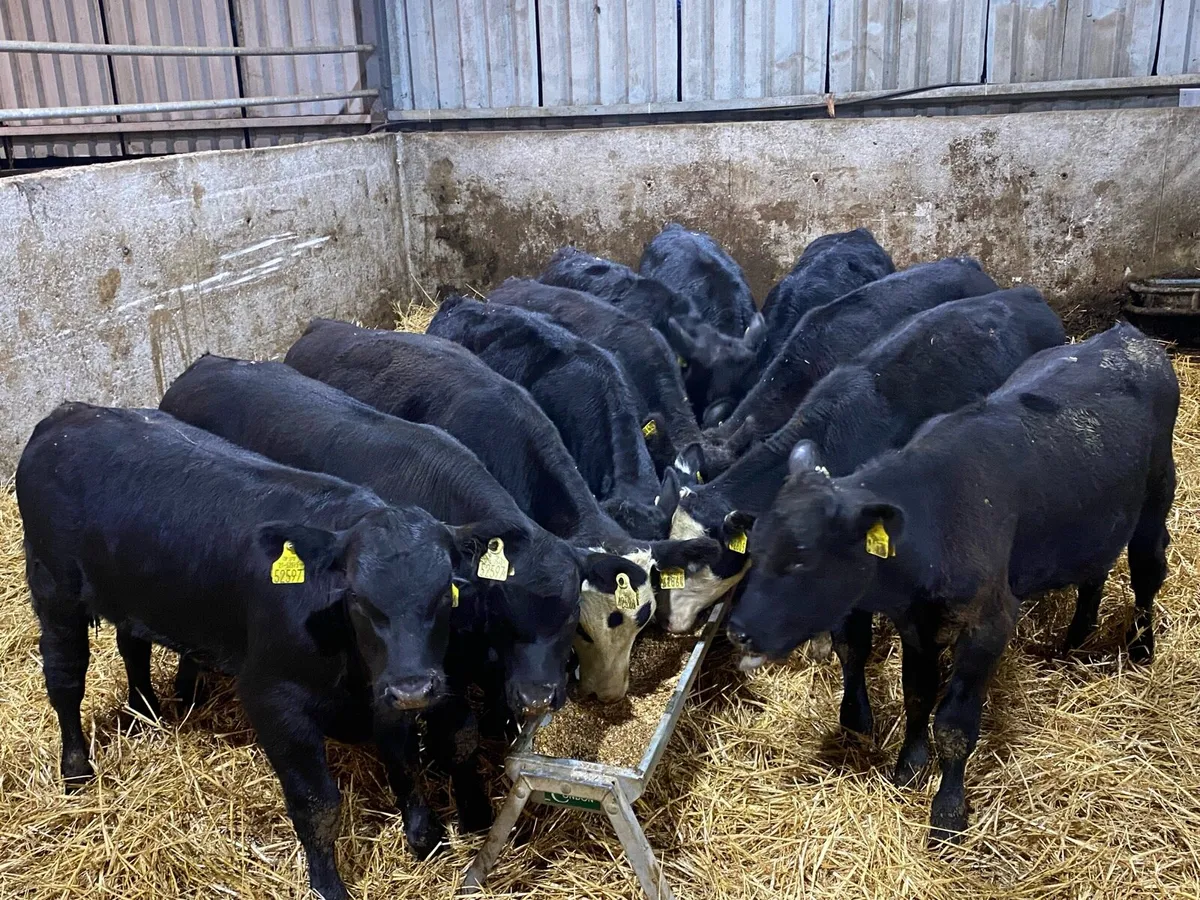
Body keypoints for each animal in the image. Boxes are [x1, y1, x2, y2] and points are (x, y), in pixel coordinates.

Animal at [17, 403, 507, 899]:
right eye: (357, 598)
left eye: (445, 595)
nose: (413, 688)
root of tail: (70, 414)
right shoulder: (273, 699)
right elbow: (318, 804)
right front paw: (328, 885)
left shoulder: (387, 695)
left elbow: (405, 761)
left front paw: (426, 837)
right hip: (55, 591)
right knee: (65, 677)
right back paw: (76, 769)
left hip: (132, 594)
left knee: (131, 645)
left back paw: (145, 711)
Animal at [727, 322, 1177, 844]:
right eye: (754, 549)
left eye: (802, 560)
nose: (737, 630)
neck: (937, 512)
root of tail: (1126, 335)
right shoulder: (915, 622)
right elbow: (918, 693)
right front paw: (909, 764)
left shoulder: (990, 621)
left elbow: (955, 724)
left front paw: (947, 812)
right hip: (1093, 518)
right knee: (1095, 570)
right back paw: (1076, 638)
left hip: (1156, 495)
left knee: (1147, 569)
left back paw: (1141, 646)